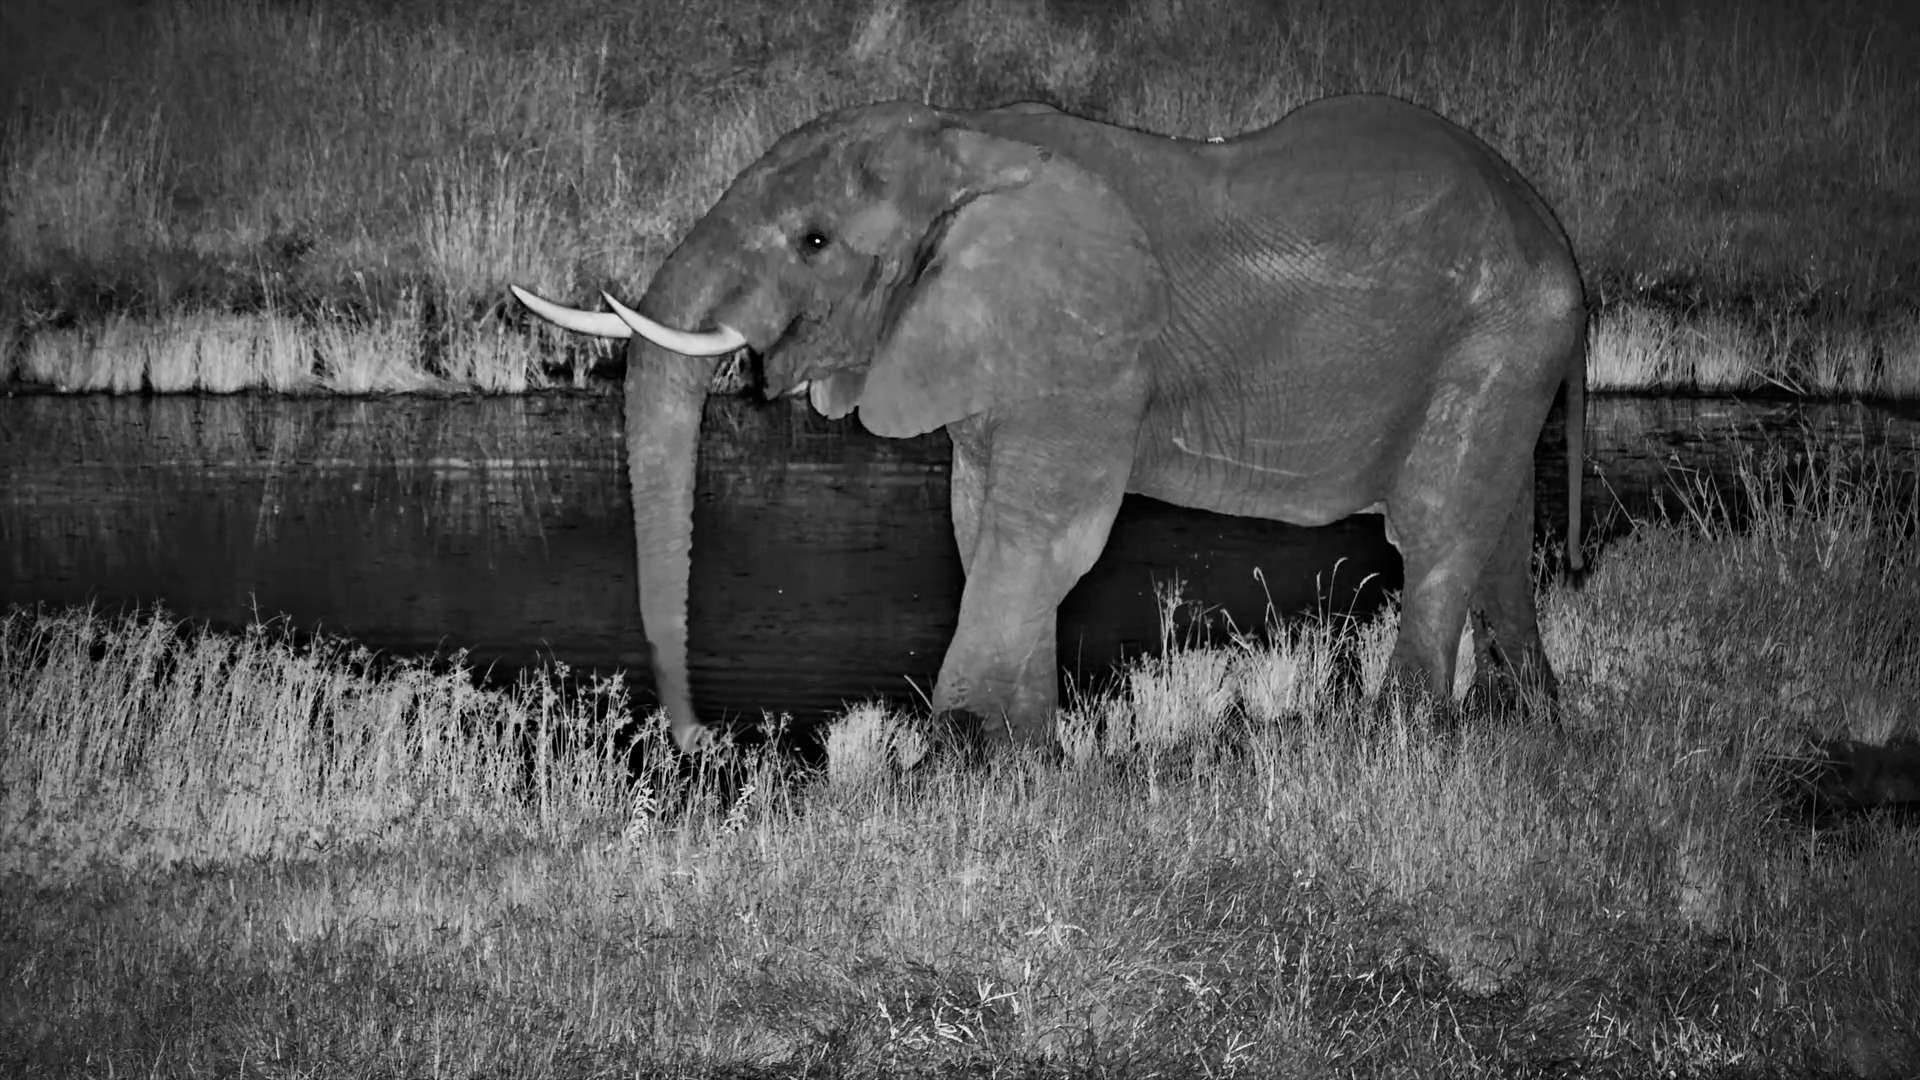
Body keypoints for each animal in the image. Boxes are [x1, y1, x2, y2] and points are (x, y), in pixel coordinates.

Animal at [513, 93, 1586, 752]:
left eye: (814, 242)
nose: (703, 741)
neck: (965, 140)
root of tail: (1556, 237)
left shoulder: (1096, 349)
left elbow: (1046, 534)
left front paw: (945, 769)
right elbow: (980, 520)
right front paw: (1021, 763)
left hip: (1498, 336)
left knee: (1437, 526)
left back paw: (1400, 737)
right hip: (1506, 352)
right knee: (1494, 524)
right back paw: (1526, 721)